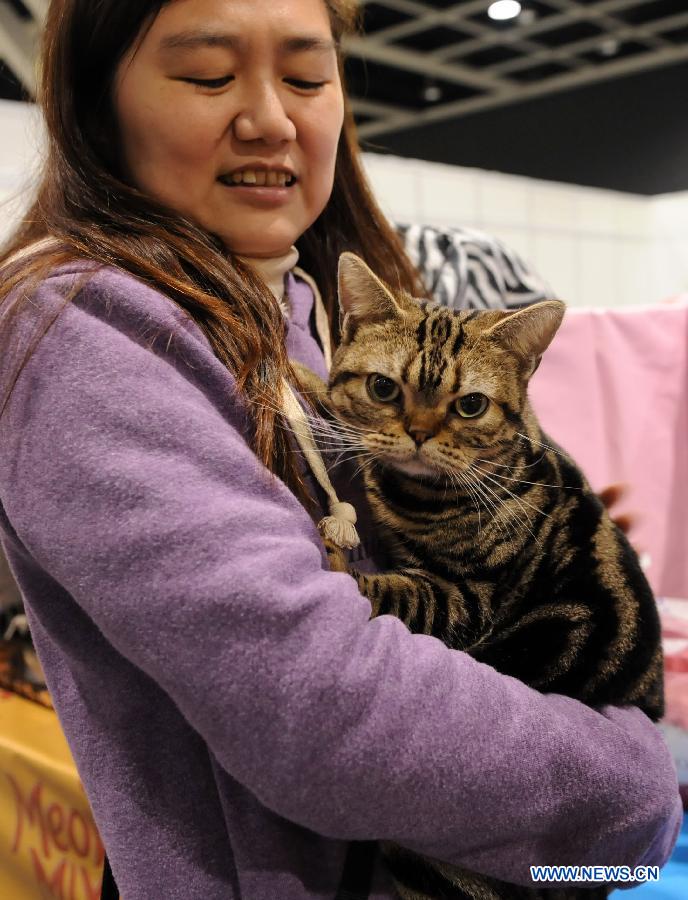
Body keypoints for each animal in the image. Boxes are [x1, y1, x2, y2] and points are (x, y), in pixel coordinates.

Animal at [292, 251, 664, 900]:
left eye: (470, 405)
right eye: (384, 388)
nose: (418, 433)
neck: (416, 495)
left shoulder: (470, 601)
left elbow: (399, 588)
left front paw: (341, 564)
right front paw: (307, 379)